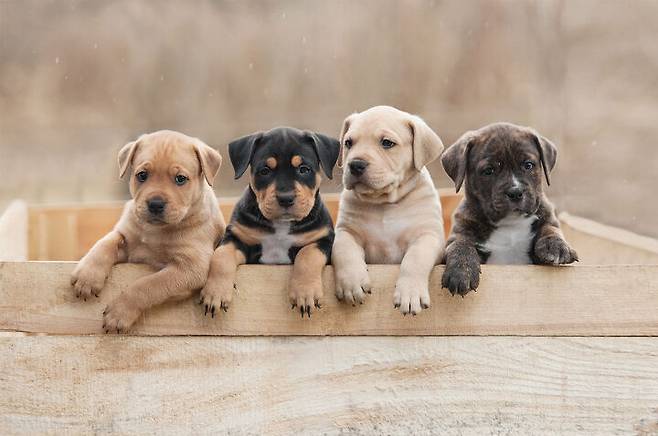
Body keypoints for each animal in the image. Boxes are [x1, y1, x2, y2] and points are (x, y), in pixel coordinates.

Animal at [71, 131, 226, 332]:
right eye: (142, 175)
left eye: (180, 179)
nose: (155, 204)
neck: (156, 231)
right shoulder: (127, 240)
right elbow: (106, 242)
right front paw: (87, 276)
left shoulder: (190, 268)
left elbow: (148, 285)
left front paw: (119, 312)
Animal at [200, 126, 338, 316]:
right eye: (265, 171)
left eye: (304, 169)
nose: (286, 198)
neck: (281, 225)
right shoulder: (237, 239)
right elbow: (220, 257)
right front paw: (215, 293)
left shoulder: (323, 239)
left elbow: (307, 255)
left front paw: (305, 293)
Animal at [334, 107, 446, 316]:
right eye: (348, 143)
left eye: (387, 143)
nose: (355, 164)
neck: (384, 203)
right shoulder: (346, 231)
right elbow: (343, 250)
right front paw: (352, 283)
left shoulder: (428, 236)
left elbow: (415, 258)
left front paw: (410, 293)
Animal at [440, 121, 576, 294]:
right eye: (488, 171)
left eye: (528, 165)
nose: (515, 192)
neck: (510, 223)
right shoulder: (459, 233)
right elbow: (460, 244)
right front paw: (461, 271)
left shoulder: (546, 221)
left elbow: (550, 229)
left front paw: (556, 246)